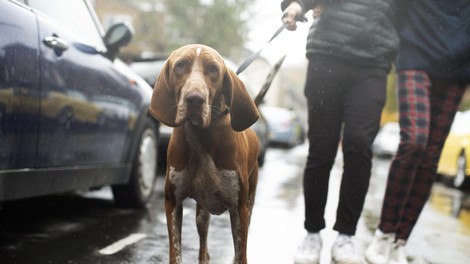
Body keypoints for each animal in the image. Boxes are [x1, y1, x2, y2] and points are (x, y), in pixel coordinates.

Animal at [150, 44, 260, 262]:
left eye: (213, 69)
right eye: (180, 65)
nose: (194, 100)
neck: (201, 136)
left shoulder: (239, 210)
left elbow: (241, 254)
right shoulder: (172, 203)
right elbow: (175, 254)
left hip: (249, 203)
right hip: (202, 215)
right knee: (203, 246)